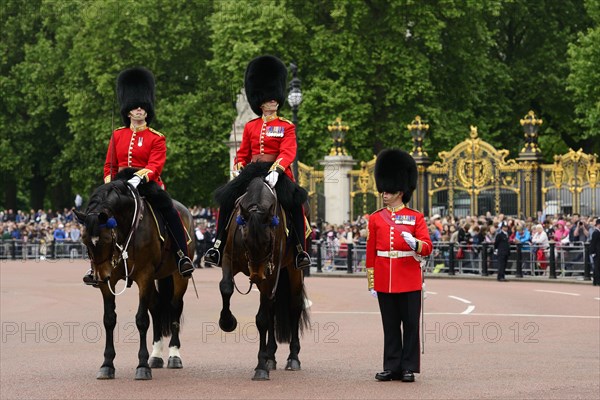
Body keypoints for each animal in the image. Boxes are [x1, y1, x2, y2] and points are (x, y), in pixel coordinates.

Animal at [74, 177, 193, 380]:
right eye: (84, 240)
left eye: (106, 239)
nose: (99, 277)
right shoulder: (110, 281)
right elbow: (109, 319)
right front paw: (107, 364)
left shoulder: (144, 276)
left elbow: (141, 320)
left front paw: (142, 366)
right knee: (157, 308)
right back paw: (156, 355)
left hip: (178, 276)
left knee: (175, 307)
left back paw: (174, 355)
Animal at [218, 178, 310, 382]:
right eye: (245, 240)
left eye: (268, 241)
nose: (256, 276)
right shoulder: (228, 258)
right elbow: (226, 287)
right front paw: (227, 322)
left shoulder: (270, 275)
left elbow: (261, 320)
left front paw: (260, 367)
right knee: (272, 308)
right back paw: (271, 356)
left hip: (292, 271)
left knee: (294, 307)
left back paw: (293, 358)